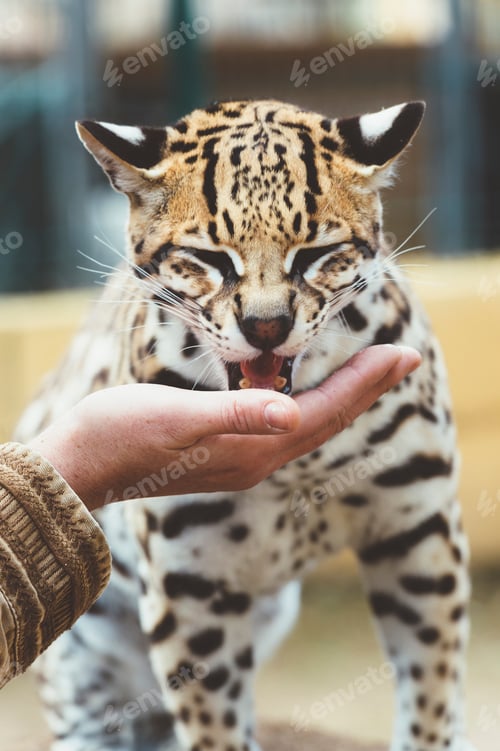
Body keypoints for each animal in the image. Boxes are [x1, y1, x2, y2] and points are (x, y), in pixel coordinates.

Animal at [15, 98, 473, 751]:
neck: (299, 462)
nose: (266, 326)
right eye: (210, 259)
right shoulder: (190, 584)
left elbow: (431, 691)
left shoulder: (418, 529)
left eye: (315, 254)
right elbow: (216, 728)